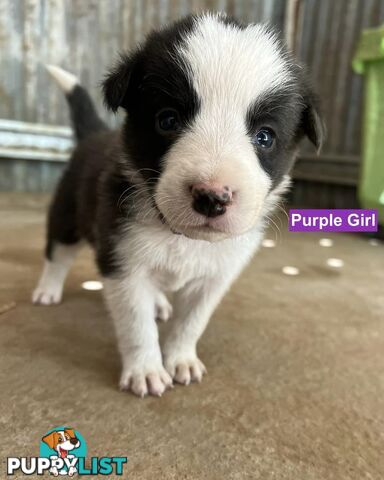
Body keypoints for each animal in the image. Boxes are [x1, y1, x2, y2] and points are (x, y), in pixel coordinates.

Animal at [32, 14, 324, 398]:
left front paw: (181, 358)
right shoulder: (123, 261)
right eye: (167, 120)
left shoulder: (216, 276)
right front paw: (146, 370)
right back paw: (47, 290)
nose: (212, 196)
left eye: (265, 136)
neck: (181, 237)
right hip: (67, 214)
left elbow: (192, 322)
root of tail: (94, 134)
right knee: (58, 254)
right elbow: (136, 324)